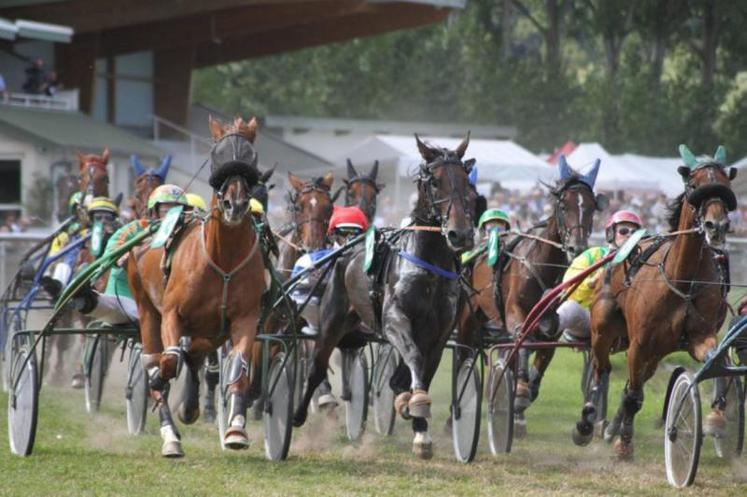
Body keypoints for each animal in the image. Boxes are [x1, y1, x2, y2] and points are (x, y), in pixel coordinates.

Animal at [129, 117, 266, 458]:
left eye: (250, 156)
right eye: (218, 155)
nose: (235, 204)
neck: (223, 258)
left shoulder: (245, 318)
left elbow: (239, 367)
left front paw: (236, 428)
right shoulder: (172, 314)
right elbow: (168, 361)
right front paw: (160, 390)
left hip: (210, 330)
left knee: (196, 355)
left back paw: (190, 407)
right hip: (146, 310)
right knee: (161, 357)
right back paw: (170, 433)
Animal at [294, 132, 476, 458]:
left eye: (466, 181)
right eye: (435, 181)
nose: (461, 234)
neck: (427, 269)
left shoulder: (439, 334)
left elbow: (421, 371)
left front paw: (417, 421)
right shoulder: (394, 321)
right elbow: (413, 357)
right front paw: (417, 411)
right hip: (332, 320)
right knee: (316, 367)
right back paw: (300, 414)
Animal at [576, 145, 740, 460]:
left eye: (725, 186)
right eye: (694, 186)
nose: (716, 226)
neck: (682, 280)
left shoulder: (699, 337)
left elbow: (716, 361)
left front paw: (715, 418)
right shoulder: (639, 343)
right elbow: (632, 396)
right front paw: (624, 445)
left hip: (656, 351)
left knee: (633, 380)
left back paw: (611, 428)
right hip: (604, 329)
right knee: (602, 369)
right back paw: (587, 423)